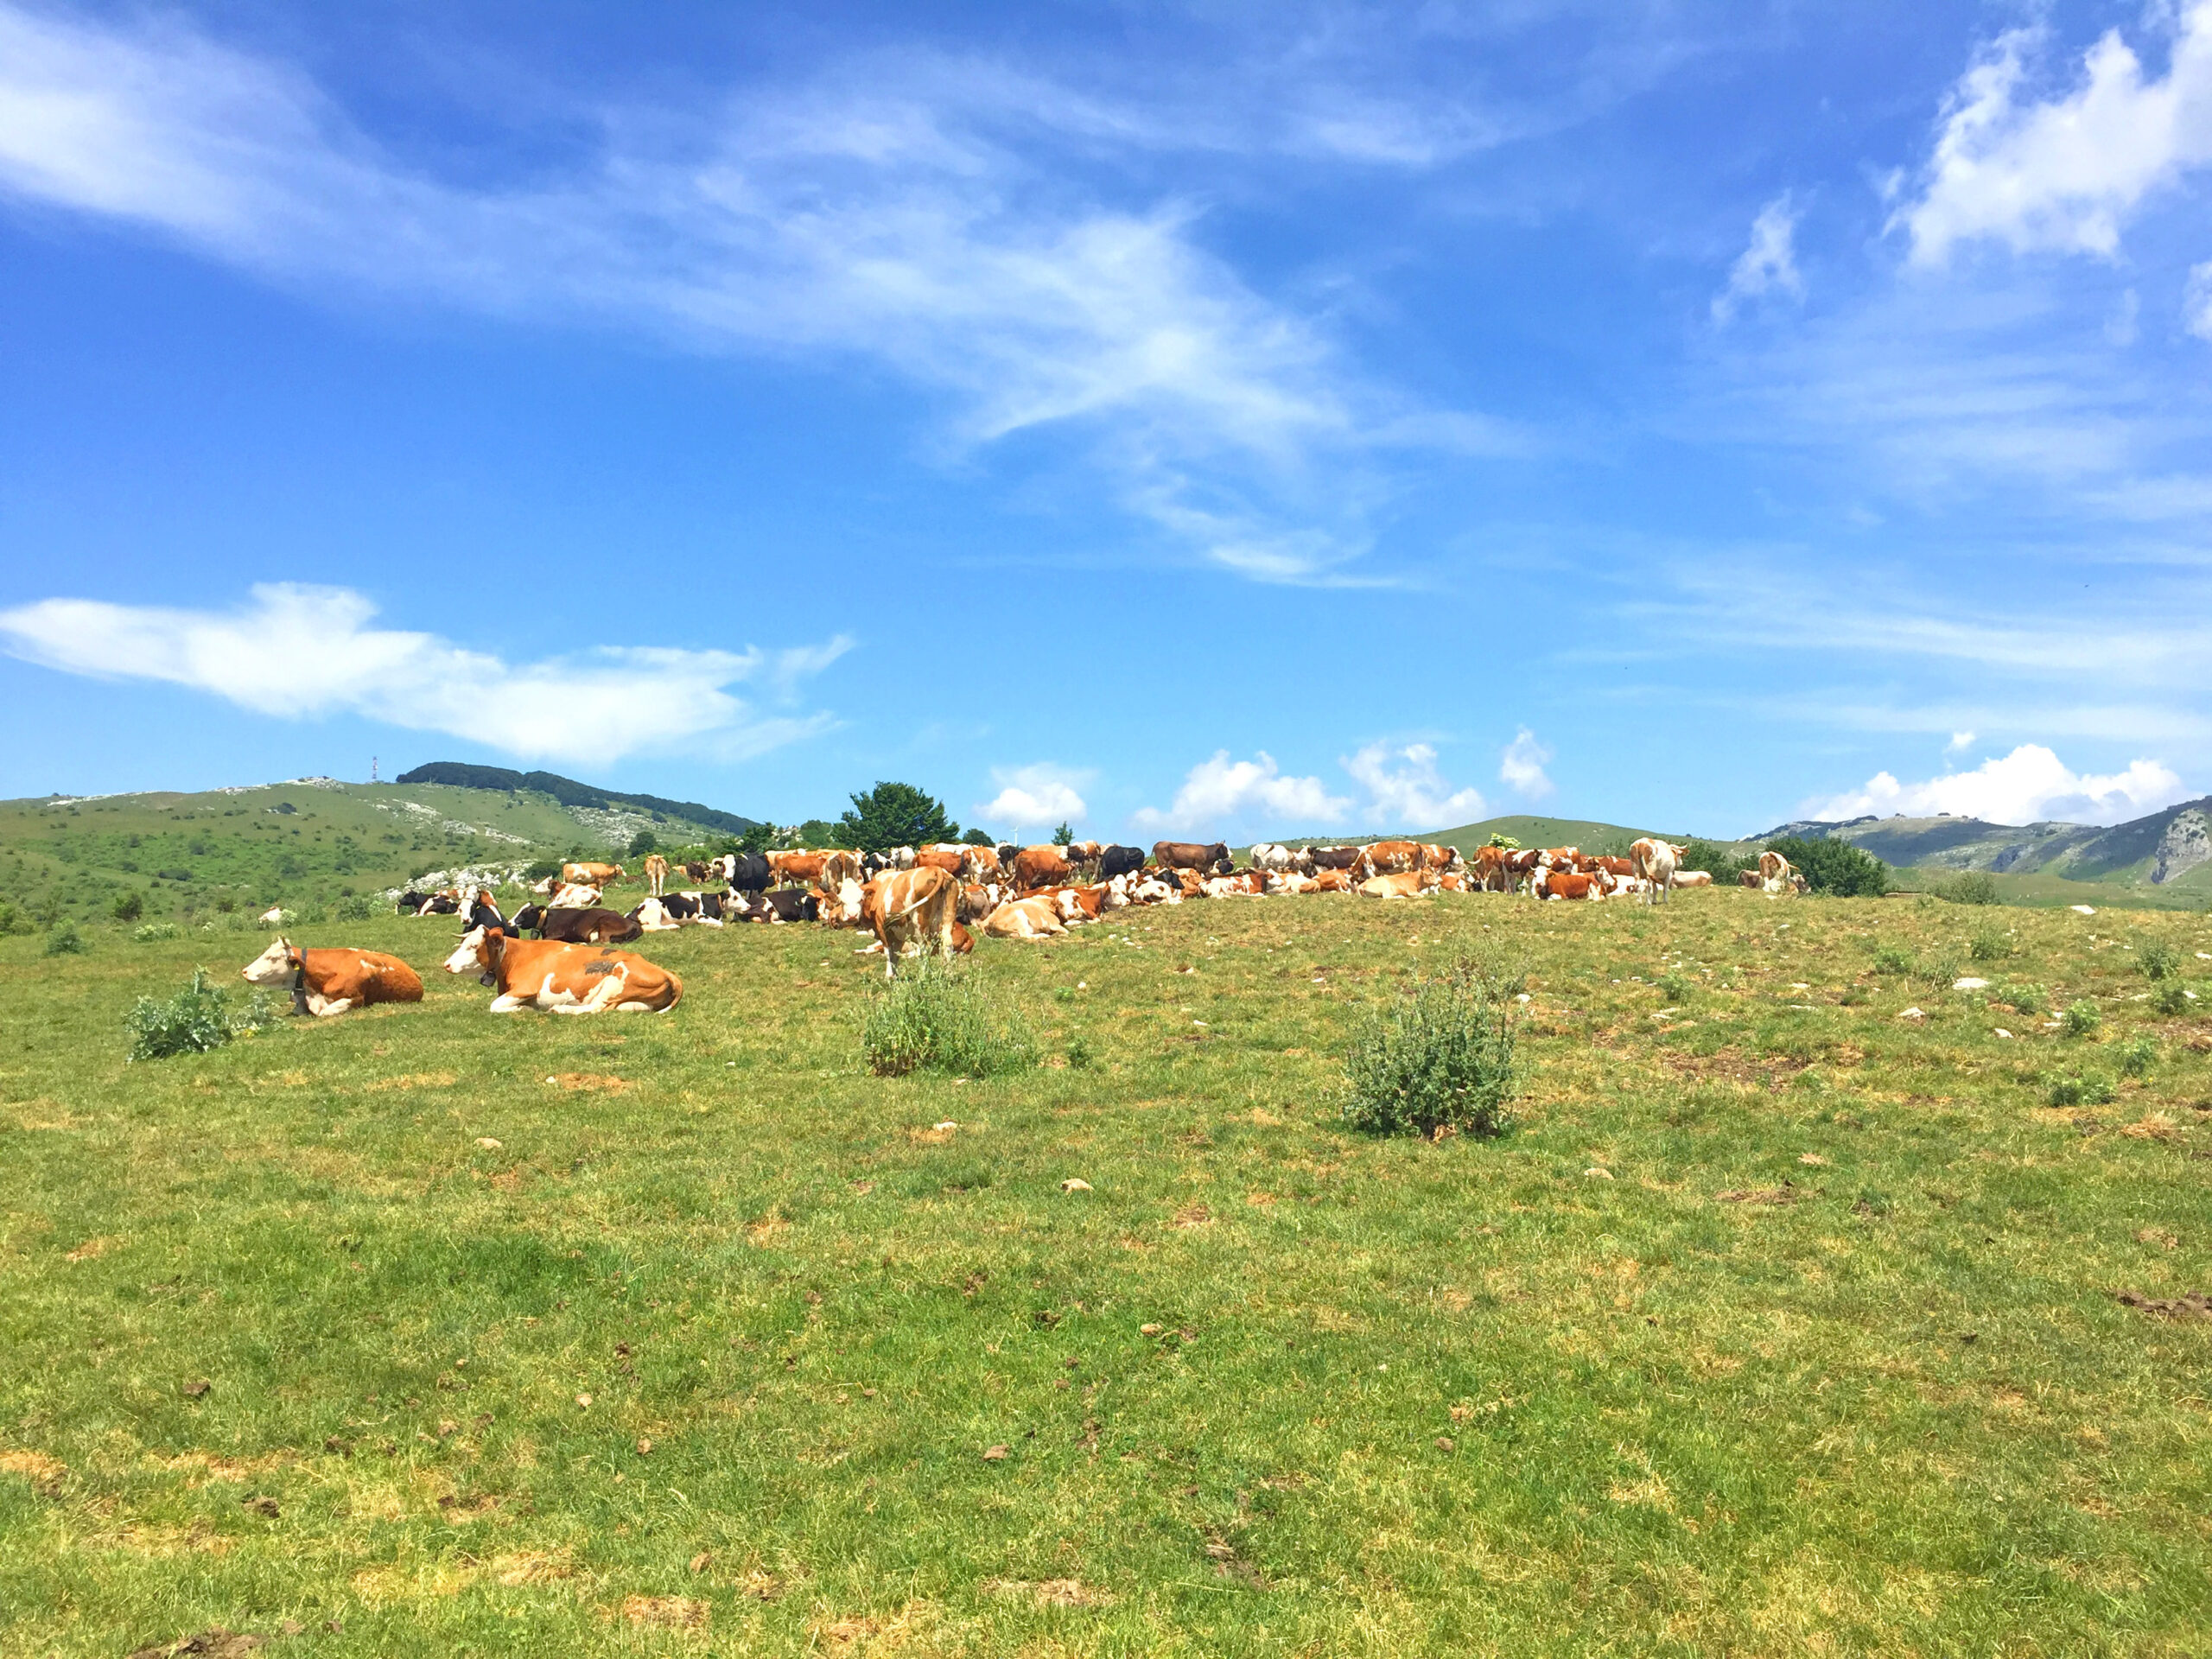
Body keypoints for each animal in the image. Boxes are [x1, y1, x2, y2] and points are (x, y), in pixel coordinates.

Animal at [440, 929, 681, 1021]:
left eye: (473, 945)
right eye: (463, 942)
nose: (447, 964)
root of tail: (661, 969)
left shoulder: (526, 988)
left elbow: (494, 1005)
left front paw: (525, 1010)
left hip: (615, 980)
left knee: (595, 1008)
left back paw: (561, 1009)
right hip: (633, 1001)